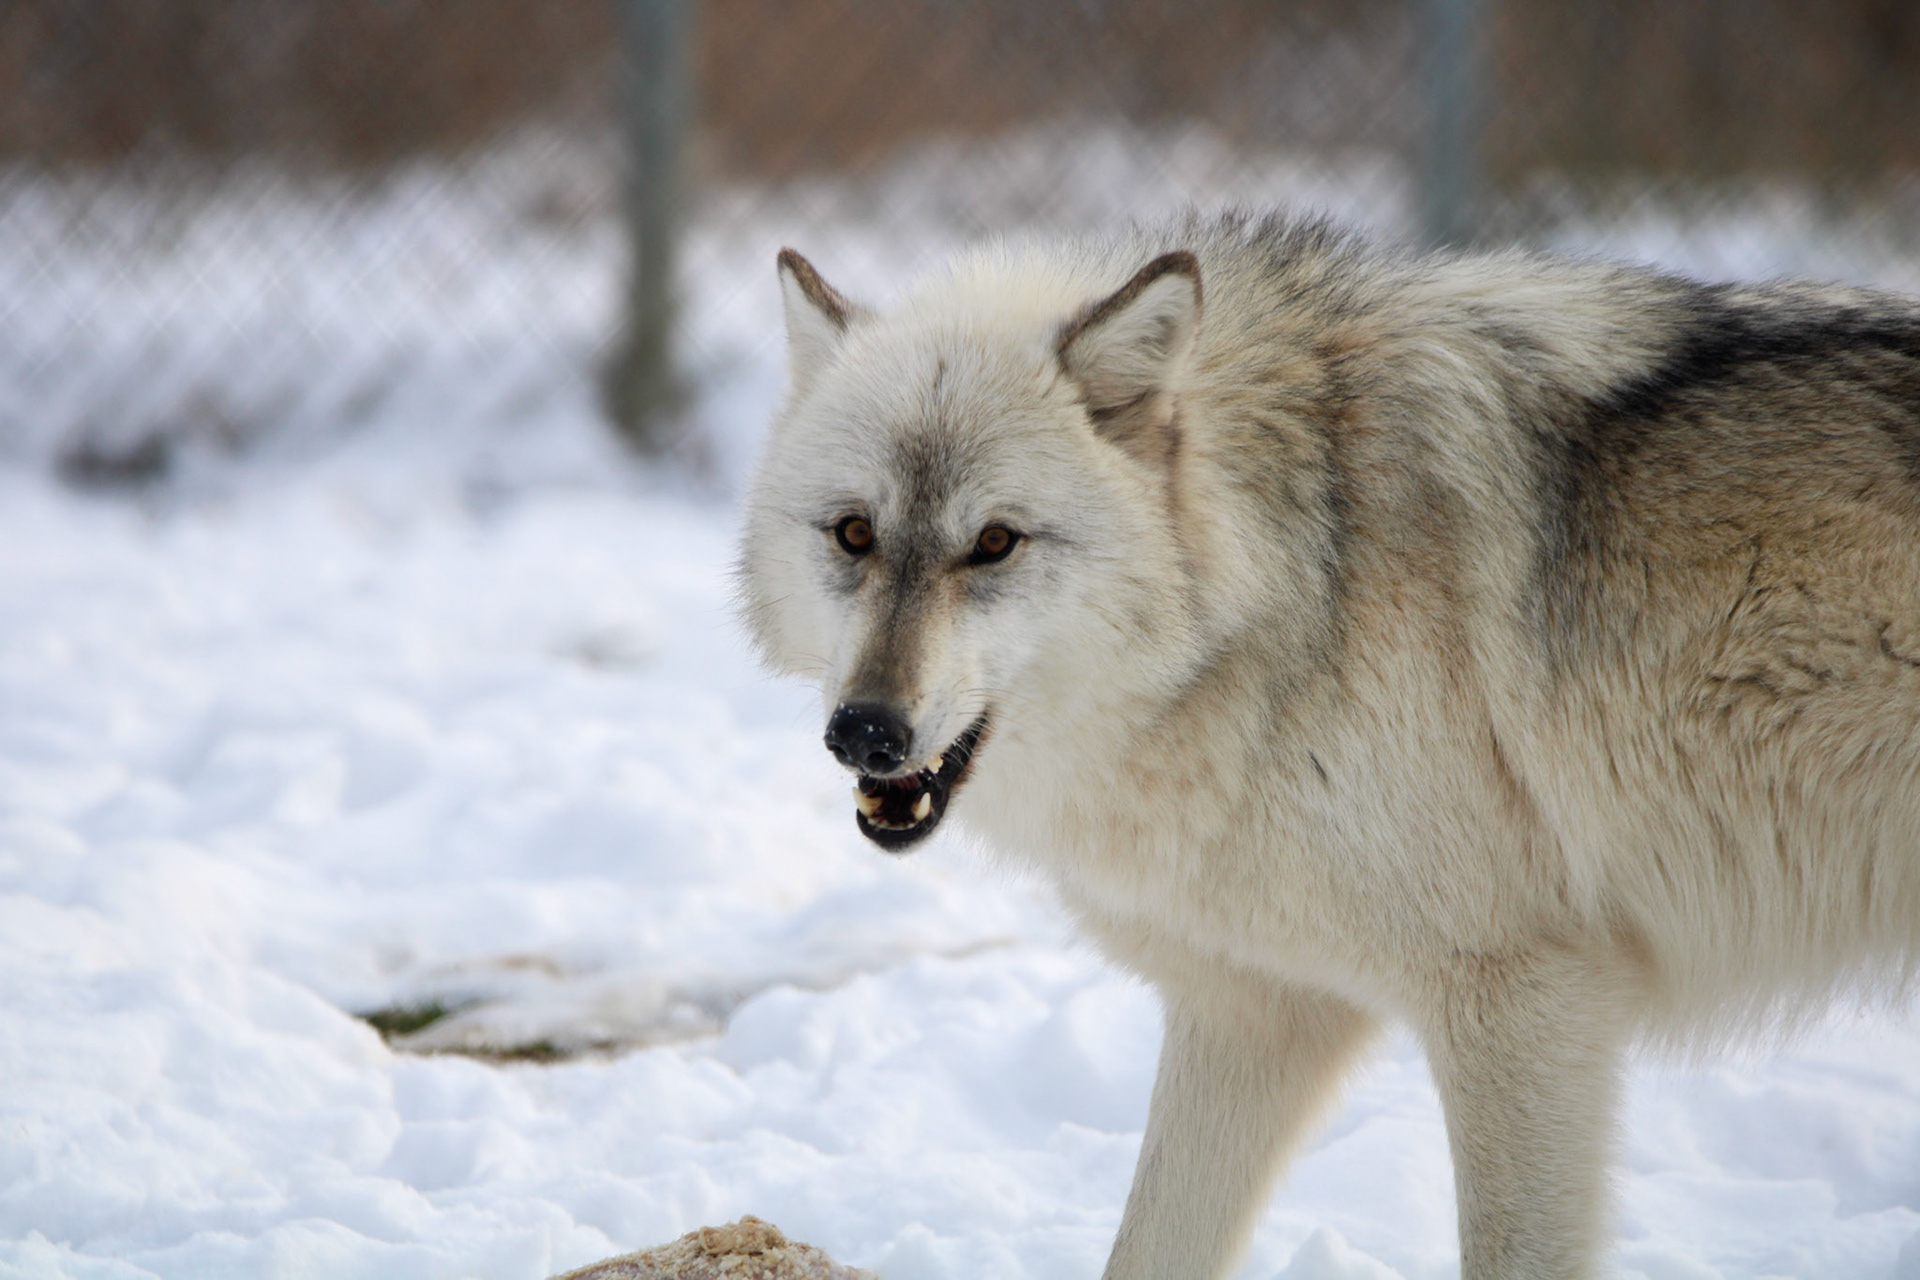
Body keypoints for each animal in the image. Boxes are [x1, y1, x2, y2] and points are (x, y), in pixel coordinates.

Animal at [736, 210, 1920, 1279]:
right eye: (854, 533)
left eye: (993, 543)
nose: (865, 731)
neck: (1296, 582)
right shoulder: (1252, 1012)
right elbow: (1147, 1252)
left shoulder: (1525, 1002)